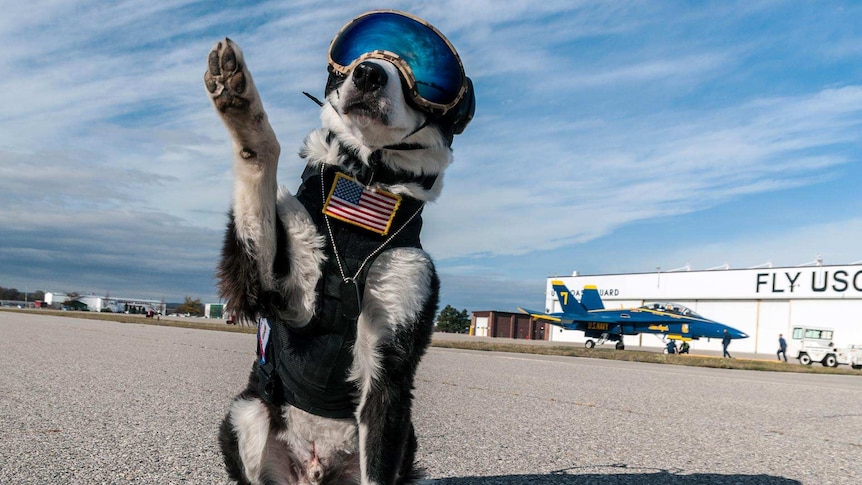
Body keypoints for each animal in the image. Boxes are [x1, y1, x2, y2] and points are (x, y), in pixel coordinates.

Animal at [206, 11, 476, 484]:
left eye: (429, 76)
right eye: (358, 50)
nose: (368, 72)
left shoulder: (389, 369)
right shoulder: (271, 288)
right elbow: (262, 157)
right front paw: (238, 97)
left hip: (407, 436)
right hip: (248, 412)